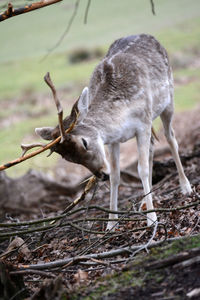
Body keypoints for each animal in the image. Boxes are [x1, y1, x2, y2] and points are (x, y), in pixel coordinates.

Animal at [35, 35, 191, 231]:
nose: (101, 174)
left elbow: (142, 170)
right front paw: (111, 224)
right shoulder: (112, 139)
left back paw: (186, 187)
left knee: (171, 138)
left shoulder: (142, 123)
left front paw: (152, 219)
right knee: (152, 146)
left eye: (84, 142)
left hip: (168, 100)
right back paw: (144, 202)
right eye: (68, 159)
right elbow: (116, 176)